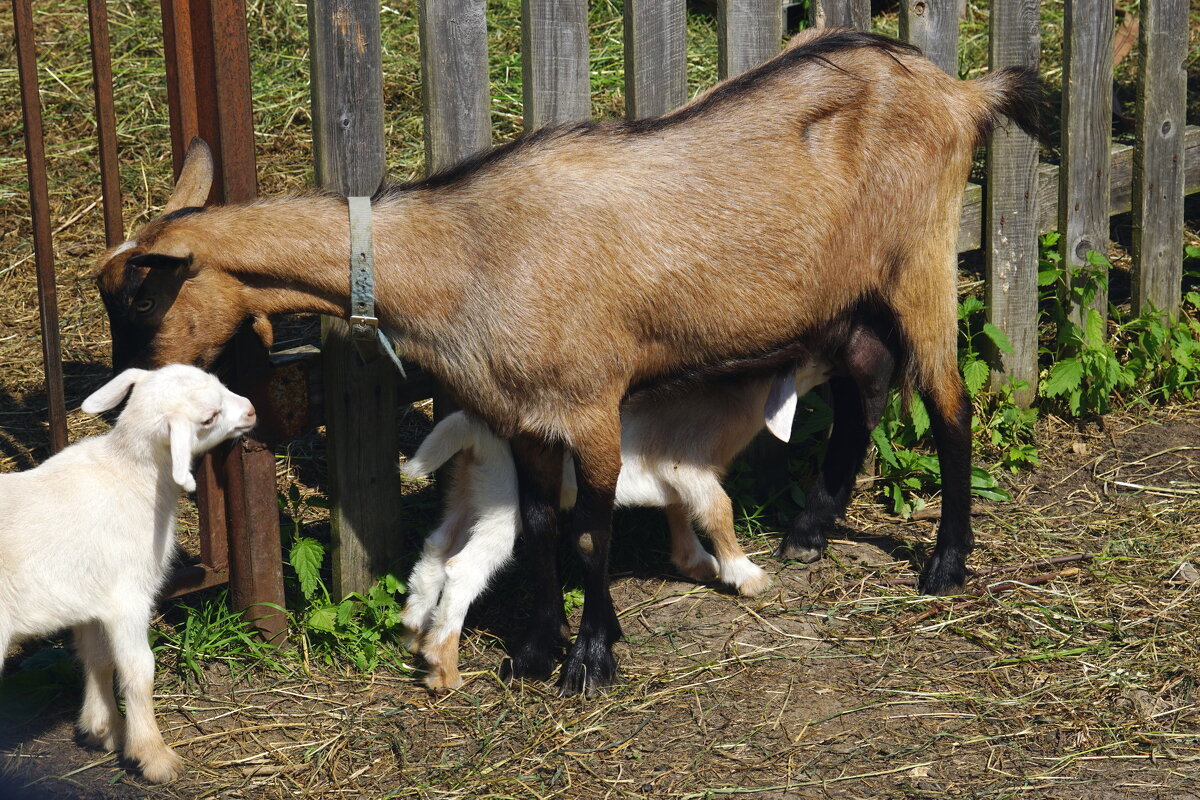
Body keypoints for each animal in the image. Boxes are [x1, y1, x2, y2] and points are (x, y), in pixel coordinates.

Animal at [96, 29, 1041, 695]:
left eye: (142, 301)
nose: (110, 406)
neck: (465, 253)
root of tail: (962, 90)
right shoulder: (520, 417)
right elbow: (543, 526)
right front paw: (533, 648)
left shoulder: (591, 405)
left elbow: (590, 532)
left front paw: (591, 659)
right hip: (842, 292)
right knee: (861, 386)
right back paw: (811, 528)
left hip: (920, 258)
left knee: (950, 404)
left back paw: (945, 563)